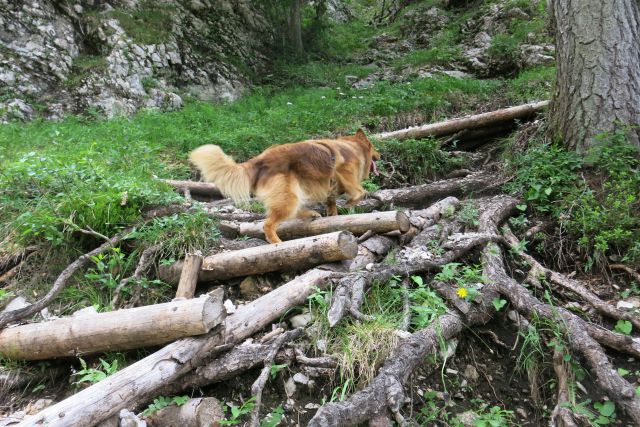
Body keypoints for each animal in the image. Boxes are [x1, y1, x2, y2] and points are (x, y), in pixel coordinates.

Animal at [189, 130, 380, 244]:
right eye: (374, 148)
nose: (379, 155)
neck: (354, 148)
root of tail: (259, 160)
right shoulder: (344, 171)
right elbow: (359, 190)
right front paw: (351, 202)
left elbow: (332, 199)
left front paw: (333, 212)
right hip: (289, 196)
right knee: (269, 224)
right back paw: (277, 243)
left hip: (294, 192)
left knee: (292, 213)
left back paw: (310, 214)